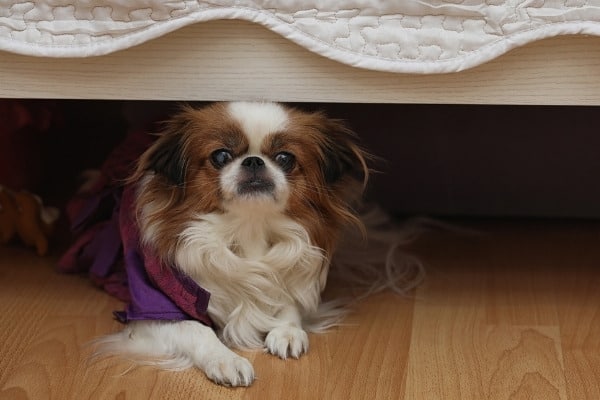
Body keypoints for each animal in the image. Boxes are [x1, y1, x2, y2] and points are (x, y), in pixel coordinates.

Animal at [95, 101, 380, 386]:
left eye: (285, 158)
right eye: (221, 156)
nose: (253, 160)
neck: (248, 230)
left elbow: (287, 301)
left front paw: (287, 331)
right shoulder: (153, 307)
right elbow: (195, 329)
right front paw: (226, 360)